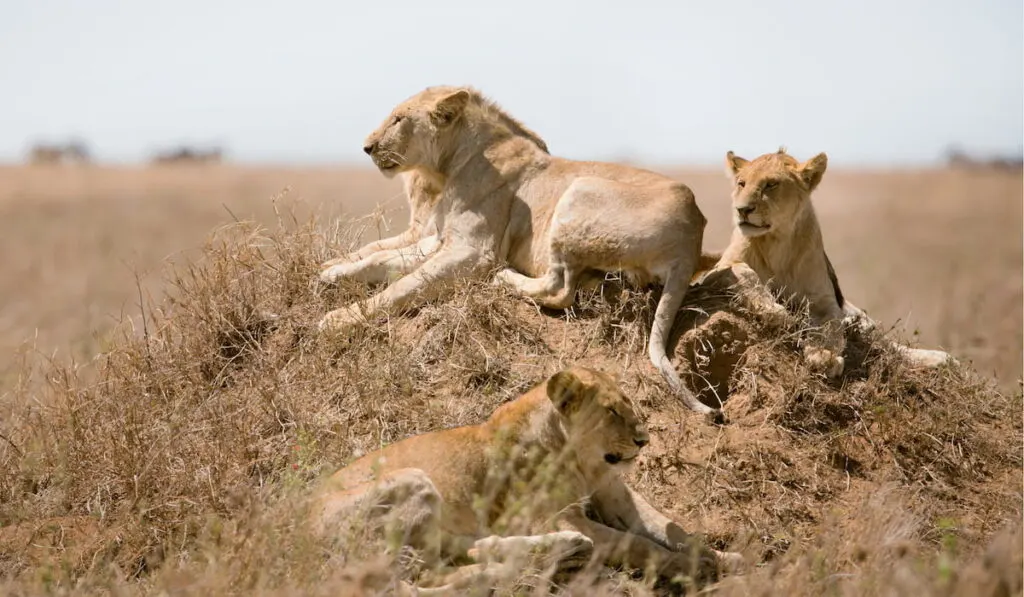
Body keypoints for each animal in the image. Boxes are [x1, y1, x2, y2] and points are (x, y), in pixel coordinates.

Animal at [311, 366, 745, 593]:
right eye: (610, 412)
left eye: (630, 405)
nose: (644, 440)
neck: (582, 460)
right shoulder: (557, 515)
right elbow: (639, 544)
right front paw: (690, 569)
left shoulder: (615, 495)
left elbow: (670, 528)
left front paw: (723, 558)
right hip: (410, 481)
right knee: (414, 580)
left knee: (457, 557)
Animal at [692, 147, 954, 376]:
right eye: (741, 183)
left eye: (771, 184)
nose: (742, 209)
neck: (777, 242)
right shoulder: (715, 272)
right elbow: (743, 271)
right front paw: (774, 311)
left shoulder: (824, 300)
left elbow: (829, 328)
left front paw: (824, 356)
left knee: (888, 344)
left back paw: (940, 359)